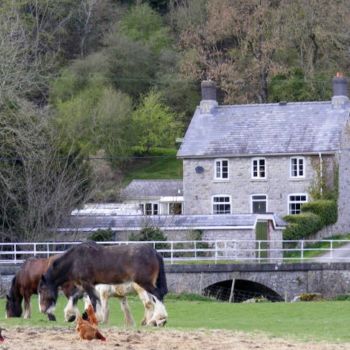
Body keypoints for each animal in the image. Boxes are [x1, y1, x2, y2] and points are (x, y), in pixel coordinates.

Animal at [38, 241, 168, 326]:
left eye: (42, 290)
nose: (42, 310)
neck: (75, 260)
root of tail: (154, 252)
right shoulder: (87, 285)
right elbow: (81, 298)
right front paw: (71, 315)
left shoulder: (87, 284)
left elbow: (94, 300)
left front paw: (95, 319)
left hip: (144, 283)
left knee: (157, 296)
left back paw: (158, 319)